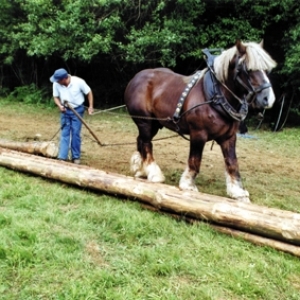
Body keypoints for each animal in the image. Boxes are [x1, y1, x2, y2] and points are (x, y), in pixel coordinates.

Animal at [123, 39, 276, 203]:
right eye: (248, 69)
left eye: (267, 70)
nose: (268, 99)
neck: (216, 96)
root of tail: (136, 78)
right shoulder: (198, 134)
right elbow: (195, 160)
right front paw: (188, 185)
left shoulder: (229, 137)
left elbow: (232, 163)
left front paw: (238, 192)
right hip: (145, 122)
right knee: (146, 144)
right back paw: (153, 173)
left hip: (154, 124)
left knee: (140, 141)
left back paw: (141, 170)